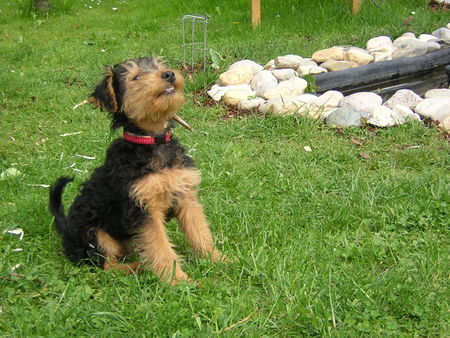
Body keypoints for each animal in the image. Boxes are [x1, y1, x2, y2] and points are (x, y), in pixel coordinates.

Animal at [49, 56, 225, 284]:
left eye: (160, 66)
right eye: (136, 77)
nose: (169, 74)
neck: (152, 141)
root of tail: (65, 229)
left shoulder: (185, 195)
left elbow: (200, 232)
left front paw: (218, 259)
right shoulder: (142, 209)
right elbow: (161, 248)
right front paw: (179, 281)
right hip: (95, 236)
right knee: (105, 266)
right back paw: (139, 268)